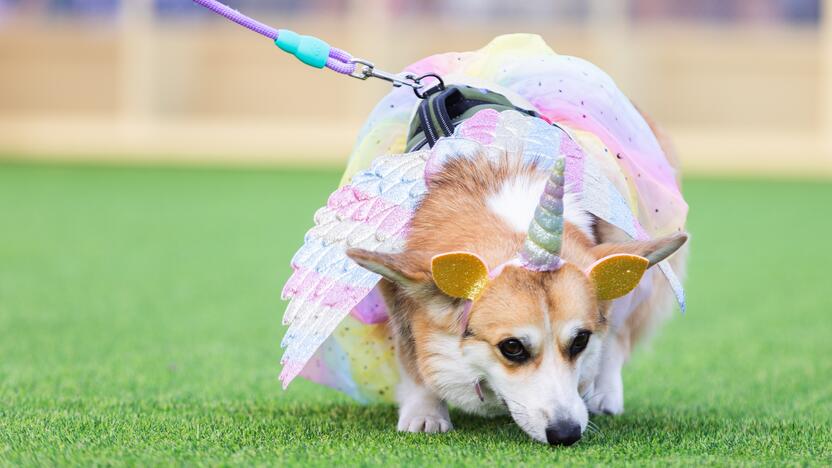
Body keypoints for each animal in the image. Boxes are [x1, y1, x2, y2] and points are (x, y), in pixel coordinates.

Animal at [346, 110, 688, 446]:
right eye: (512, 347)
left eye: (580, 340)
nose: (566, 434)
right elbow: (412, 358)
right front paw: (425, 414)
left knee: (618, 333)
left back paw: (605, 394)